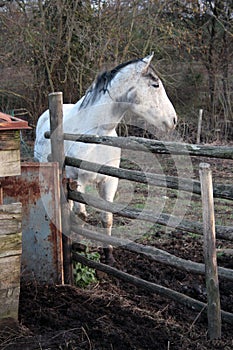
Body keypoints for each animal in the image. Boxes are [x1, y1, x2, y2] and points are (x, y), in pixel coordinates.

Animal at [34, 53, 177, 264]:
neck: (97, 132)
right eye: (155, 85)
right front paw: (78, 246)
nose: (173, 120)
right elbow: (80, 215)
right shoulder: (78, 180)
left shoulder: (109, 181)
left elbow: (106, 217)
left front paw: (108, 256)